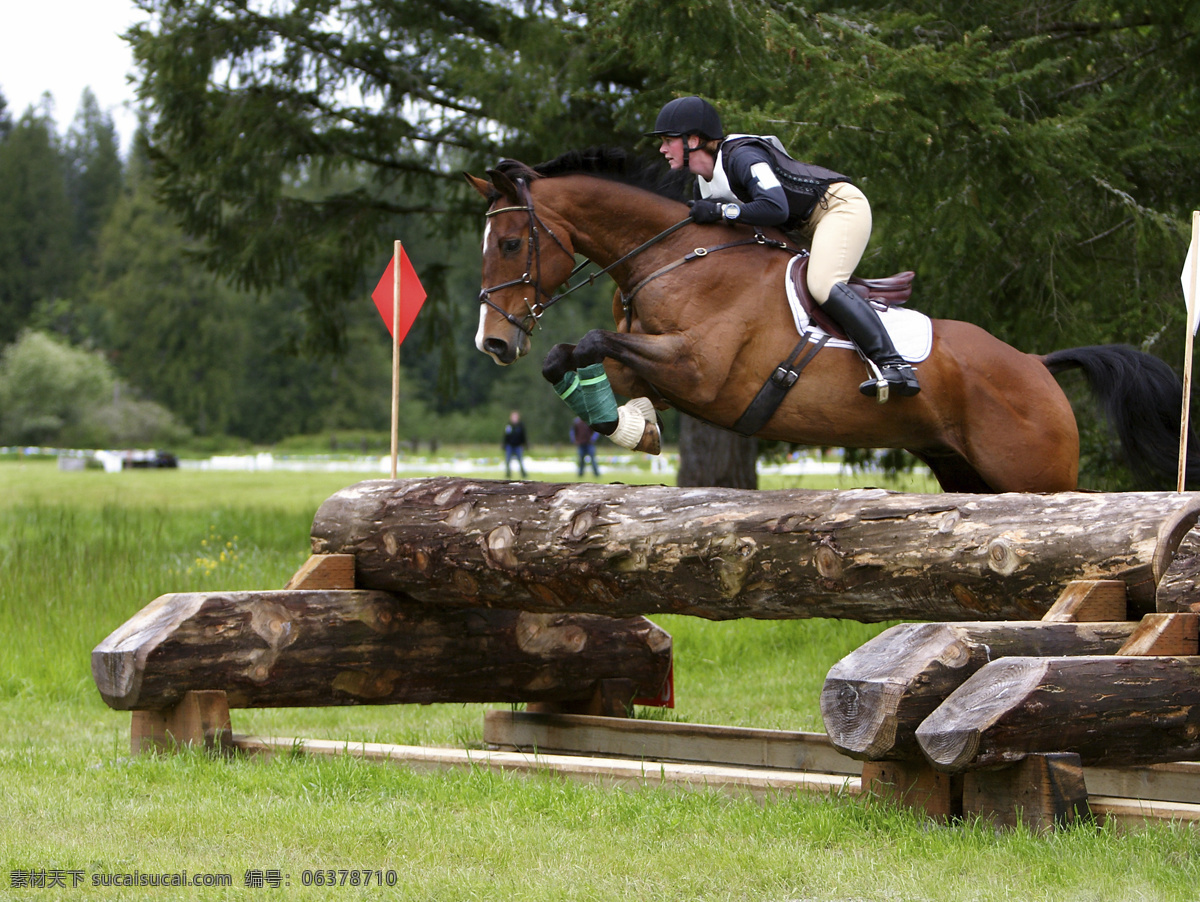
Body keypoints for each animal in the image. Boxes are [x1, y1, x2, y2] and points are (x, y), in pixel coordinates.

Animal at [468, 153, 1190, 494]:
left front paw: (633, 426)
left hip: (1033, 475)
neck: (676, 255)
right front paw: (633, 427)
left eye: (510, 243)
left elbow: (591, 341)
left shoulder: (701, 373)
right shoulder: (655, 360)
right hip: (963, 471)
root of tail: (1037, 366)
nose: (493, 342)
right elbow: (576, 361)